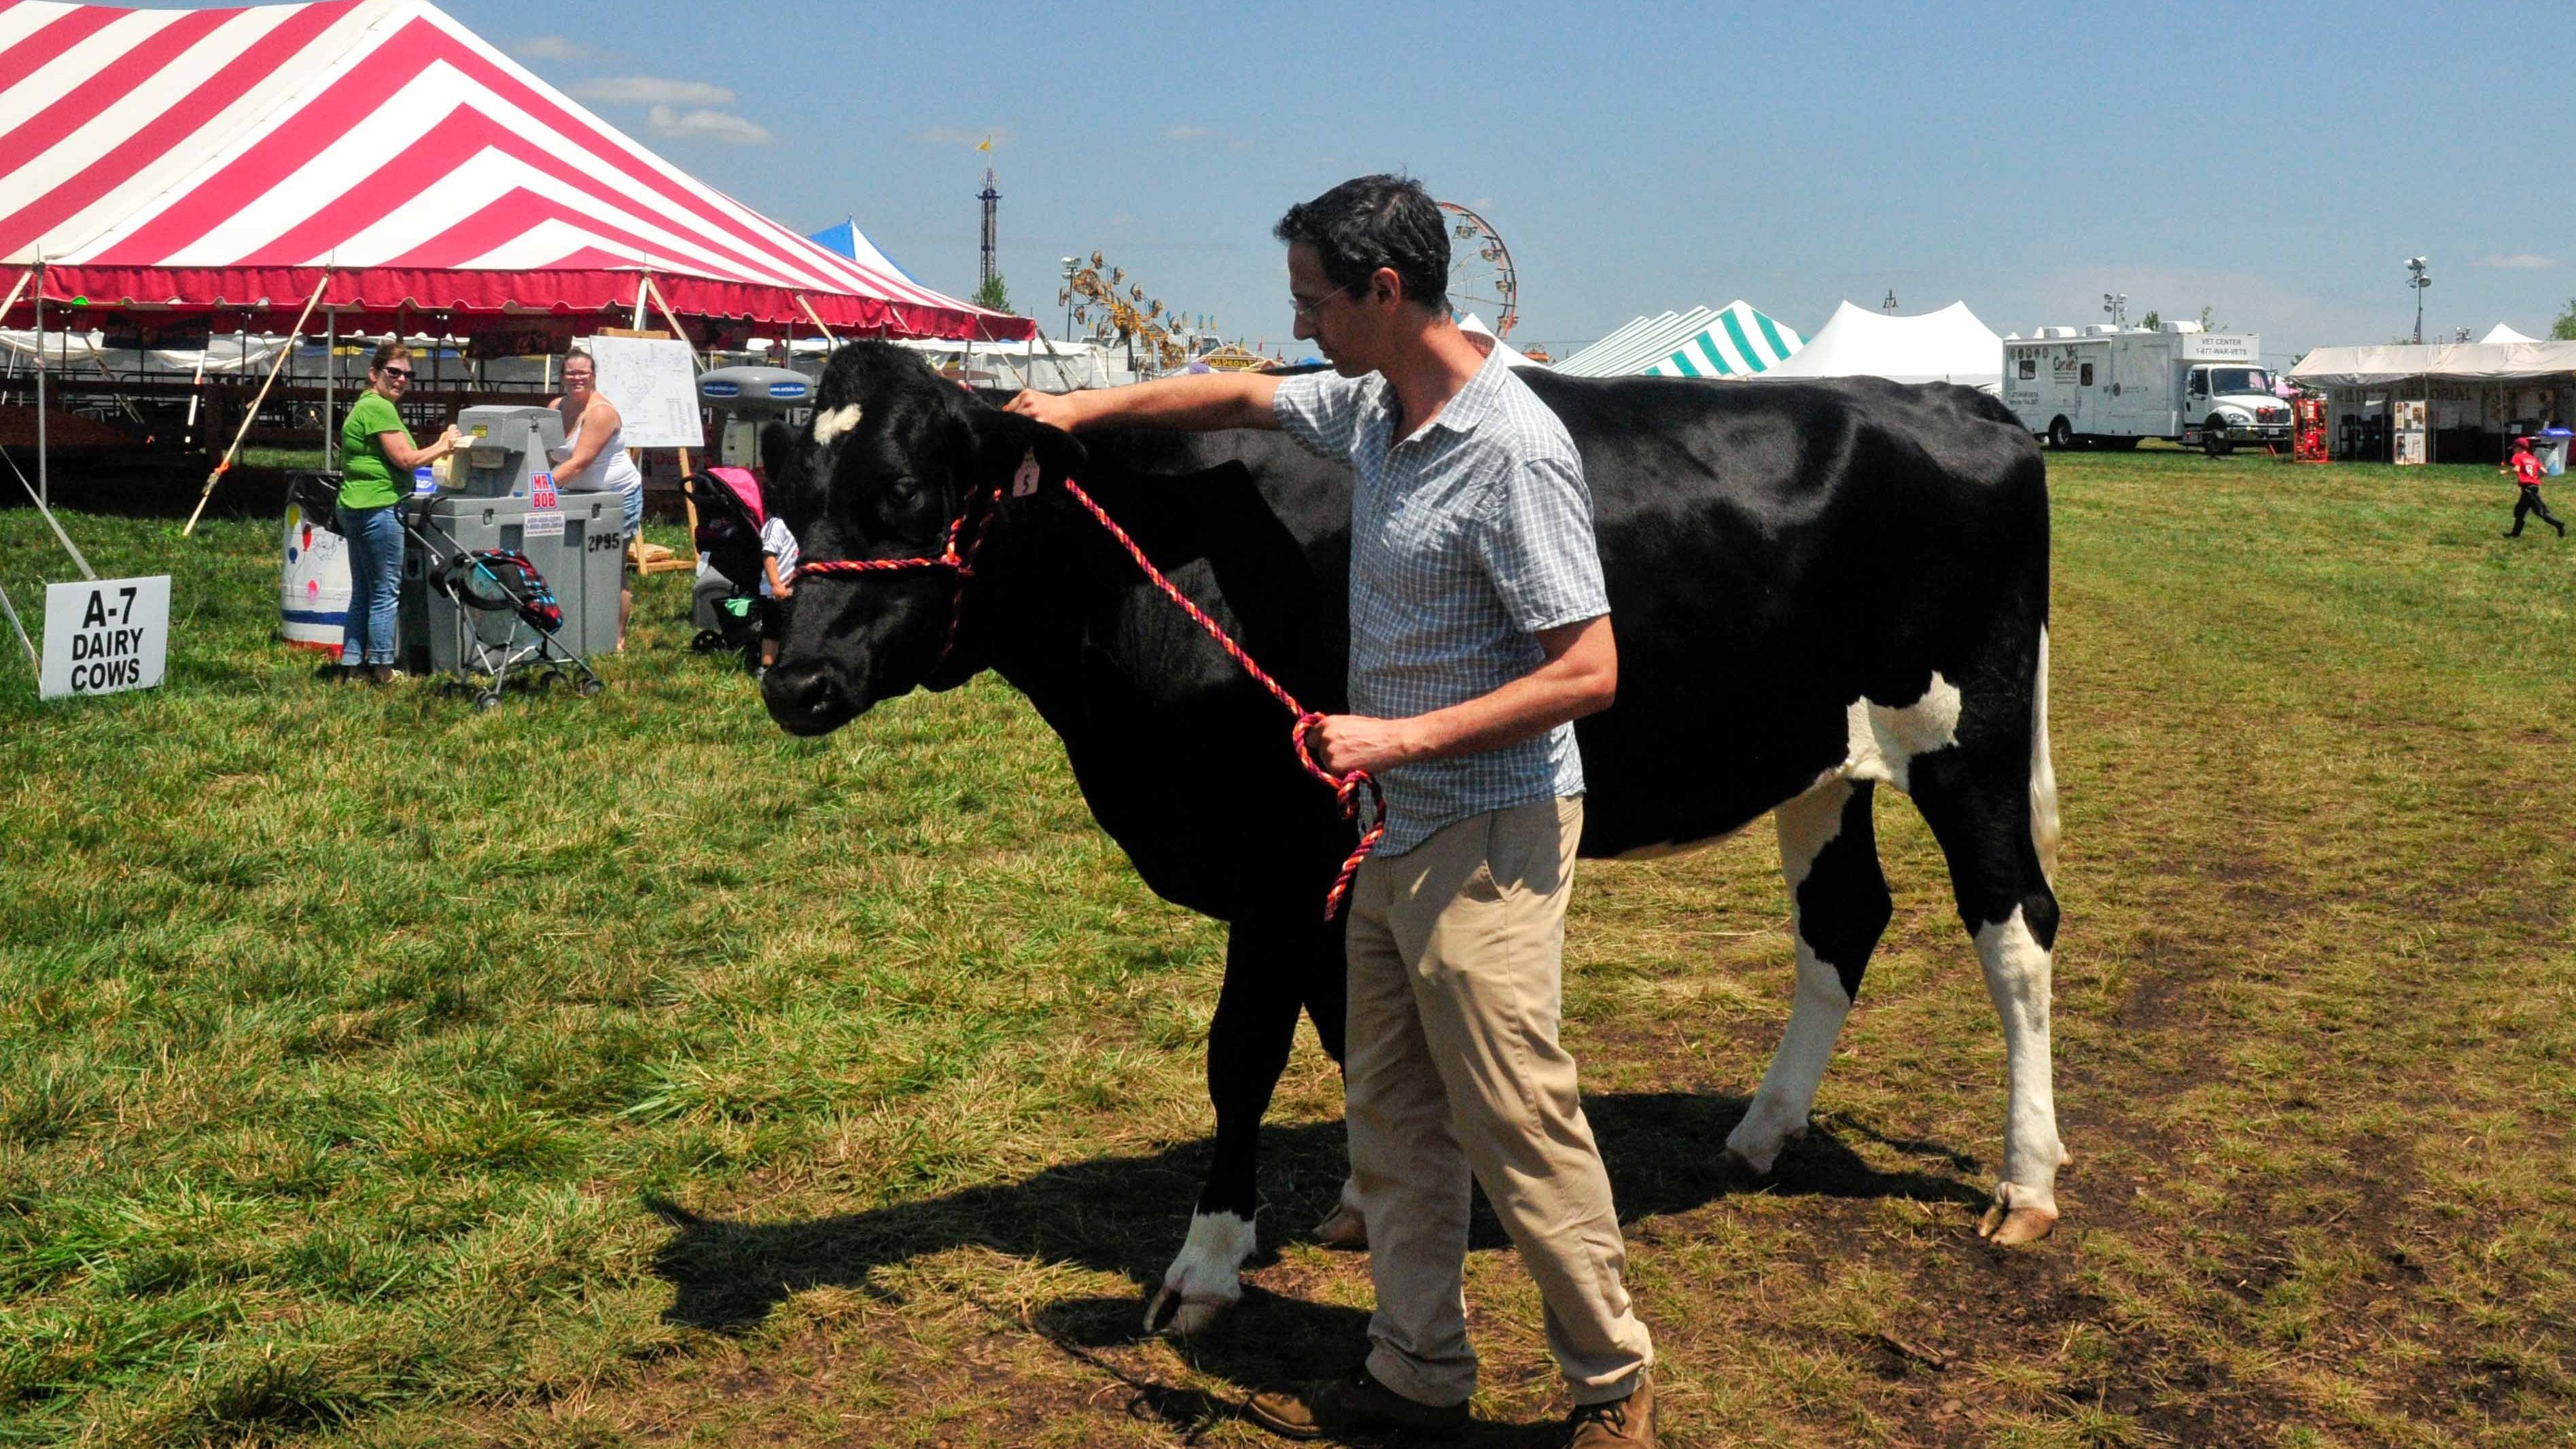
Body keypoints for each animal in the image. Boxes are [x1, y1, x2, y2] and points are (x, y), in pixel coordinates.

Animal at [760, 340, 2065, 1335]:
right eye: (787, 500)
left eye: (904, 496)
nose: (794, 680)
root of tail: (1955, 400)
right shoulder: (1332, 859)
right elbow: (1350, 1032)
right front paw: (1368, 1196)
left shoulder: (1280, 854)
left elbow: (1243, 1053)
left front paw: (1209, 1263)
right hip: (1817, 757)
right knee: (1842, 918)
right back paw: (1757, 1134)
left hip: (1970, 731)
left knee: (2015, 926)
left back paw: (2025, 1184)